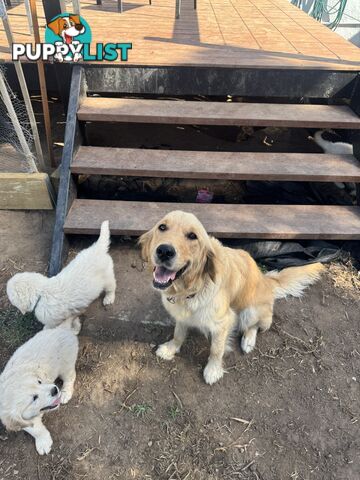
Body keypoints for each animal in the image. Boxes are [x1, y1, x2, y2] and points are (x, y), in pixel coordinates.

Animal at [0, 326, 78, 454]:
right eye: (34, 398)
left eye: (39, 382)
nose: (55, 389)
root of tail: (62, 328)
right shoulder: (20, 420)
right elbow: (35, 429)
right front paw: (43, 441)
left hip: (66, 365)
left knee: (71, 376)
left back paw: (66, 393)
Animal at [139, 212, 324, 384]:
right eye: (162, 227)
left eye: (192, 236)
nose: (164, 251)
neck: (192, 288)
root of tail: (266, 280)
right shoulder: (182, 315)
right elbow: (178, 333)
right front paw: (171, 348)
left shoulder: (224, 322)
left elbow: (216, 349)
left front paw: (213, 370)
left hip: (250, 311)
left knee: (254, 326)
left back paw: (248, 341)